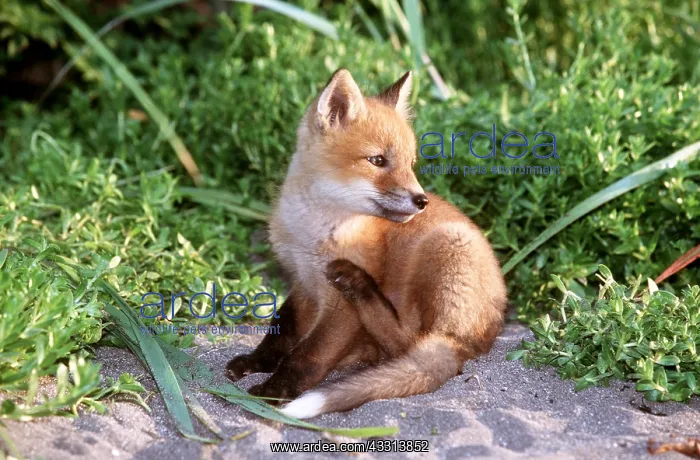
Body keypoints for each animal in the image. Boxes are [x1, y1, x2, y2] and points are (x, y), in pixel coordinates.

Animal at [225, 69, 507, 419]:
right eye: (377, 160)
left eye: (410, 163)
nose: (421, 201)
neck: (311, 232)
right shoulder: (302, 282)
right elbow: (281, 330)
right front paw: (256, 362)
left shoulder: (339, 308)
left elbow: (308, 355)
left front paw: (276, 390)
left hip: (444, 245)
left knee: (407, 343)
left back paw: (360, 286)